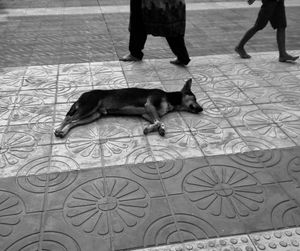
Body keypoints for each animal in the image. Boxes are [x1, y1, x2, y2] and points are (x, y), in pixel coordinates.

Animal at [54, 78, 203, 137]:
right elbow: (159, 121)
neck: (169, 98)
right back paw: (58, 130)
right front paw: (152, 128)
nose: (201, 109)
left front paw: (158, 129)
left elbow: (158, 121)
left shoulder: (147, 114)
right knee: (68, 118)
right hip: (88, 107)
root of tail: (83, 94)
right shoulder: (149, 105)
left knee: (74, 122)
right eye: (194, 98)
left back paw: (64, 132)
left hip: (93, 115)